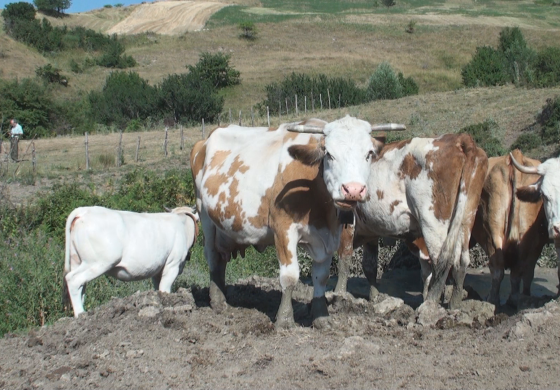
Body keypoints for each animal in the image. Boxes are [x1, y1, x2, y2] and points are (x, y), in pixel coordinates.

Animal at [190, 116, 404, 330]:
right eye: (329, 154)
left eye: (368, 154)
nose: (353, 190)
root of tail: (205, 140)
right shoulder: (283, 229)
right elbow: (290, 276)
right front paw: (284, 319)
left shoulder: (329, 236)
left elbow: (321, 276)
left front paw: (320, 316)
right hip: (205, 217)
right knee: (213, 257)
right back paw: (217, 300)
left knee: (221, 259)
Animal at [334, 134, 488, 310]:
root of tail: (458, 139)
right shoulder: (370, 230)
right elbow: (369, 265)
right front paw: (374, 297)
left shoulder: (345, 219)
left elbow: (344, 258)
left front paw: (338, 295)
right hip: (466, 216)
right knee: (460, 260)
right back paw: (454, 304)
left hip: (433, 221)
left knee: (441, 260)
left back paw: (431, 302)